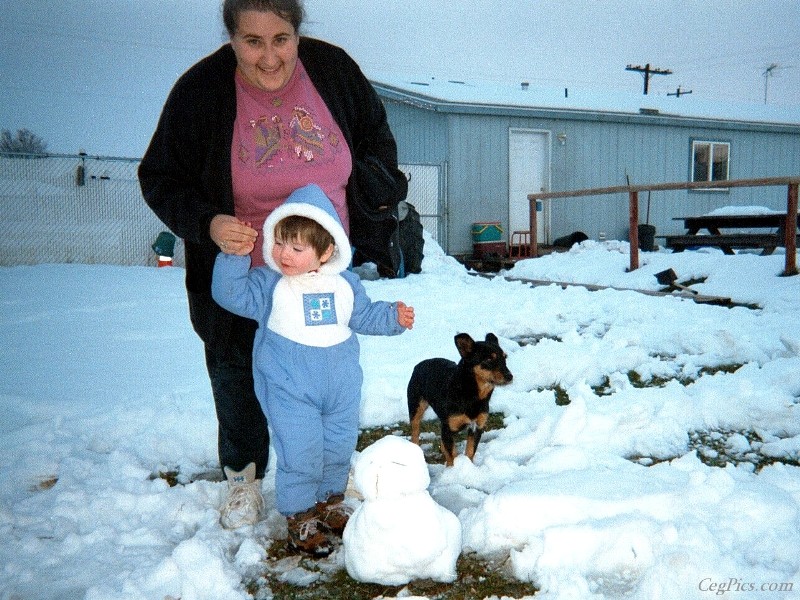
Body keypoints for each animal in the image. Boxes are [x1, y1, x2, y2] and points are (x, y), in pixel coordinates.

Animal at [406, 336, 512, 466]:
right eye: (488, 359)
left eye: (505, 357)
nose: (510, 376)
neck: (472, 395)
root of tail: (418, 365)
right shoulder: (448, 428)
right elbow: (452, 455)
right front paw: (453, 469)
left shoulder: (477, 427)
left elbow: (470, 452)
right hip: (416, 408)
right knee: (415, 433)